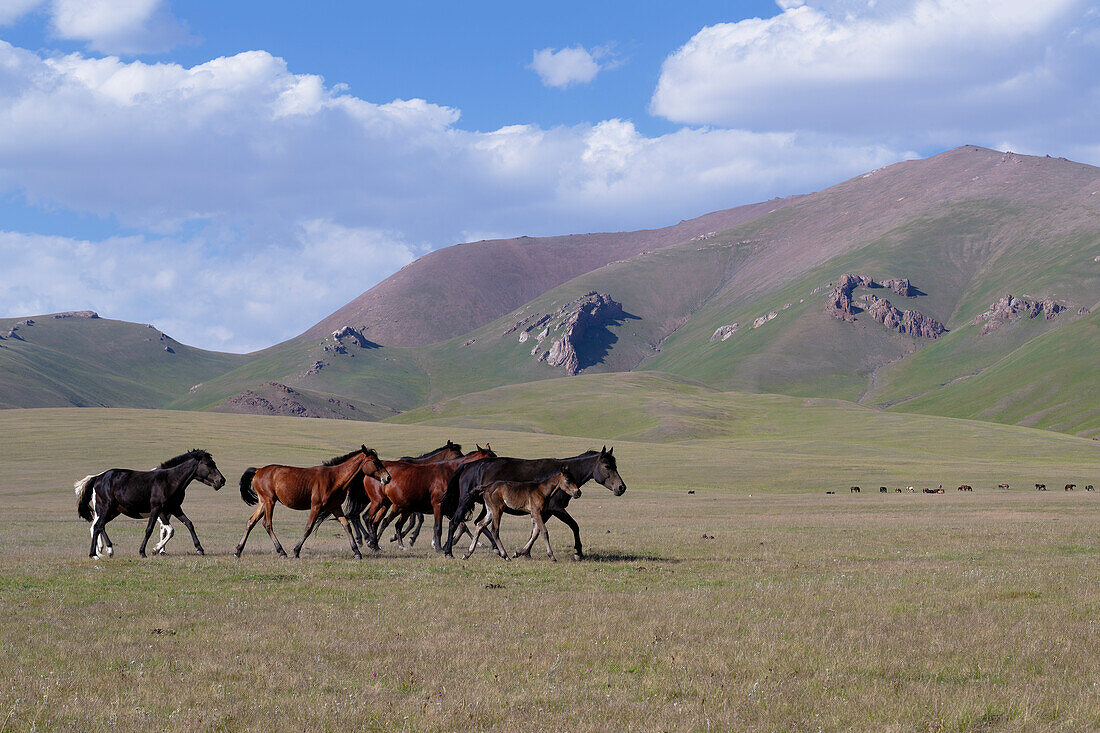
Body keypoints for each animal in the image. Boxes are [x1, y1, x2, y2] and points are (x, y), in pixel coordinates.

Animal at [74, 449, 225, 556]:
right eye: (208, 464)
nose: (221, 481)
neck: (169, 480)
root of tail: (98, 477)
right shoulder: (157, 510)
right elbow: (155, 529)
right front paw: (149, 550)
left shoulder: (174, 508)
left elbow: (187, 524)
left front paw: (199, 549)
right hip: (105, 508)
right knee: (97, 526)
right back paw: (100, 552)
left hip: (113, 511)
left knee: (98, 526)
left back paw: (102, 552)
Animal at [233, 442, 391, 556]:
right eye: (375, 462)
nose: (388, 478)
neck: (335, 478)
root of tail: (258, 470)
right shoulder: (316, 507)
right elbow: (308, 528)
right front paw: (296, 551)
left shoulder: (335, 507)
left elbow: (346, 526)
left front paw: (357, 551)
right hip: (269, 501)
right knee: (267, 524)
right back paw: (281, 551)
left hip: (263, 502)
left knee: (251, 522)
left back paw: (238, 550)